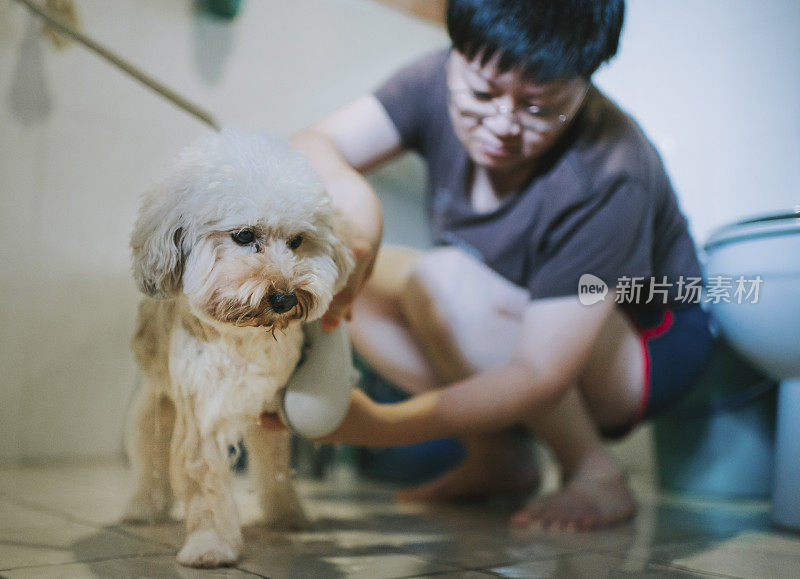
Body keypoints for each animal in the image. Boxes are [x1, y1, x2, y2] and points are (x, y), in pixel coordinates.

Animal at [122, 129, 354, 568]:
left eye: (297, 241)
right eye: (244, 236)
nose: (284, 298)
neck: (243, 340)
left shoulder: (273, 410)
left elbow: (276, 467)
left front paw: (287, 517)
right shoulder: (202, 414)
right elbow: (205, 482)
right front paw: (211, 545)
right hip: (153, 407)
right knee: (149, 459)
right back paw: (143, 508)